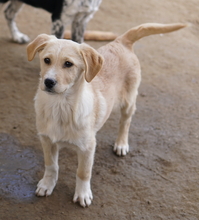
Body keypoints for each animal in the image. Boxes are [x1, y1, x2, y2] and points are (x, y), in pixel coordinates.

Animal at [27, 23, 186, 207]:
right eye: (46, 60)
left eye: (68, 64)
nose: (48, 82)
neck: (60, 107)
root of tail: (121, 41)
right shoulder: (46, 140)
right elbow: (51, 165)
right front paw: (47, 185)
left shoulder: (88, 147)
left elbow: (83, 172)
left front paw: (83, 194)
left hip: (129, 101)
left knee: (125, 122)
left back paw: (121, 144)